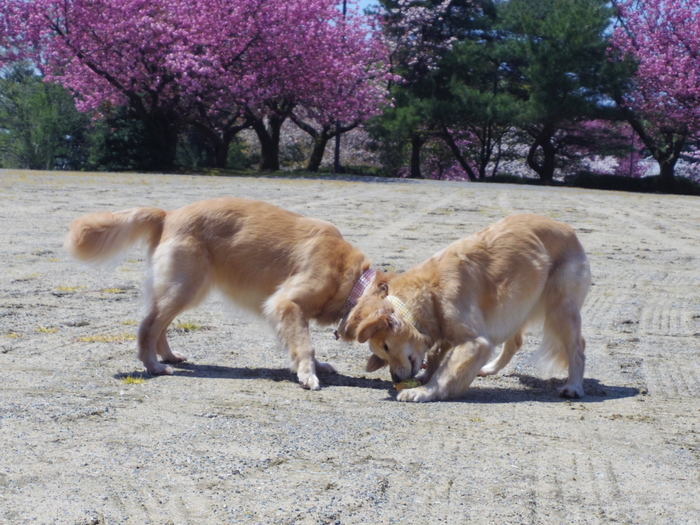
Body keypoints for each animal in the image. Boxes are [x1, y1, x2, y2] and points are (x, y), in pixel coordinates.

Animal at [65, 196, 372, 388]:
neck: (352, 277)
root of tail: (168, 215)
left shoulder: (293, 314)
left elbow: (297, 344)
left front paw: (316, 367)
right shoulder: (286, 303)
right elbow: (306, 345)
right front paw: (309, 375)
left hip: (183, 290)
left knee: (159, 325)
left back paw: (169, 356)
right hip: (186, 288)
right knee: (148, 326)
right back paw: (153, 366)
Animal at [340, 213, 592, 402]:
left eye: (386, 346)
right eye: (381, 352)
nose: (395, 379)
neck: (431, 291)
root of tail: (568, 229)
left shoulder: (475, 342)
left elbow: (446, 372)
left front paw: (423, 391)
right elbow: (434, 355)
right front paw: (425, 377)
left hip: (560, 310)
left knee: (578, 349)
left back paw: (573, 387)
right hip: (515, 309)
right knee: (515, 343)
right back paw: (490, 368)